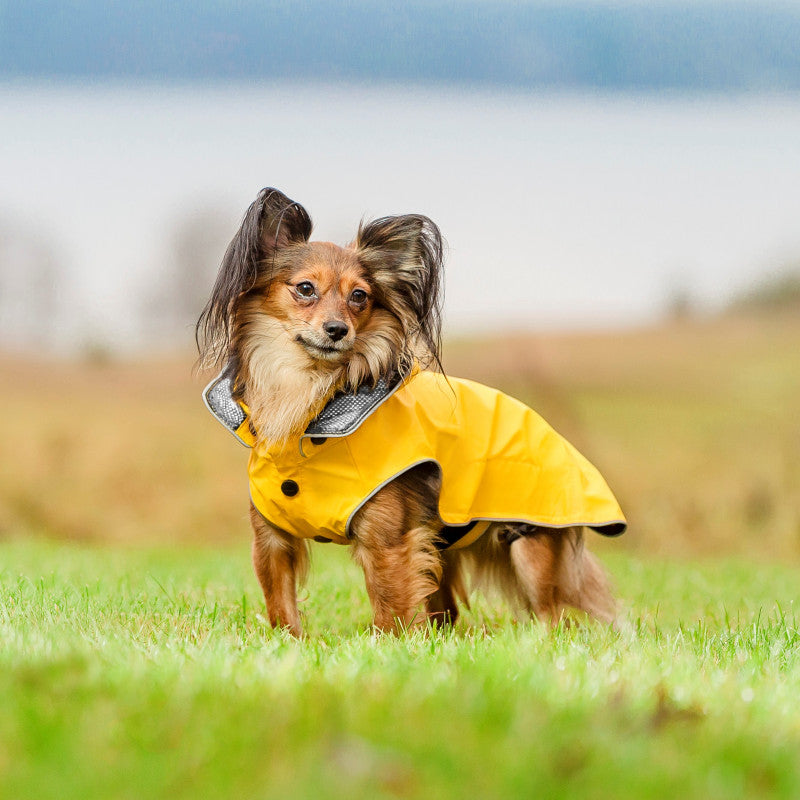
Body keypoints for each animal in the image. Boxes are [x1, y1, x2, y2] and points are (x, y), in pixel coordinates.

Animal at [198, 186, 624, 632]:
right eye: (305, 288)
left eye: (359, 296)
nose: (337, 330)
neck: (310, 395)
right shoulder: (272, 539)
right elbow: (281, 607)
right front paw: (290, 642)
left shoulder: (388, 539)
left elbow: (391, 605)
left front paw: (388, 641)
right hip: (443, 543)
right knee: (448, 609)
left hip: (529, 547)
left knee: (552, 616)